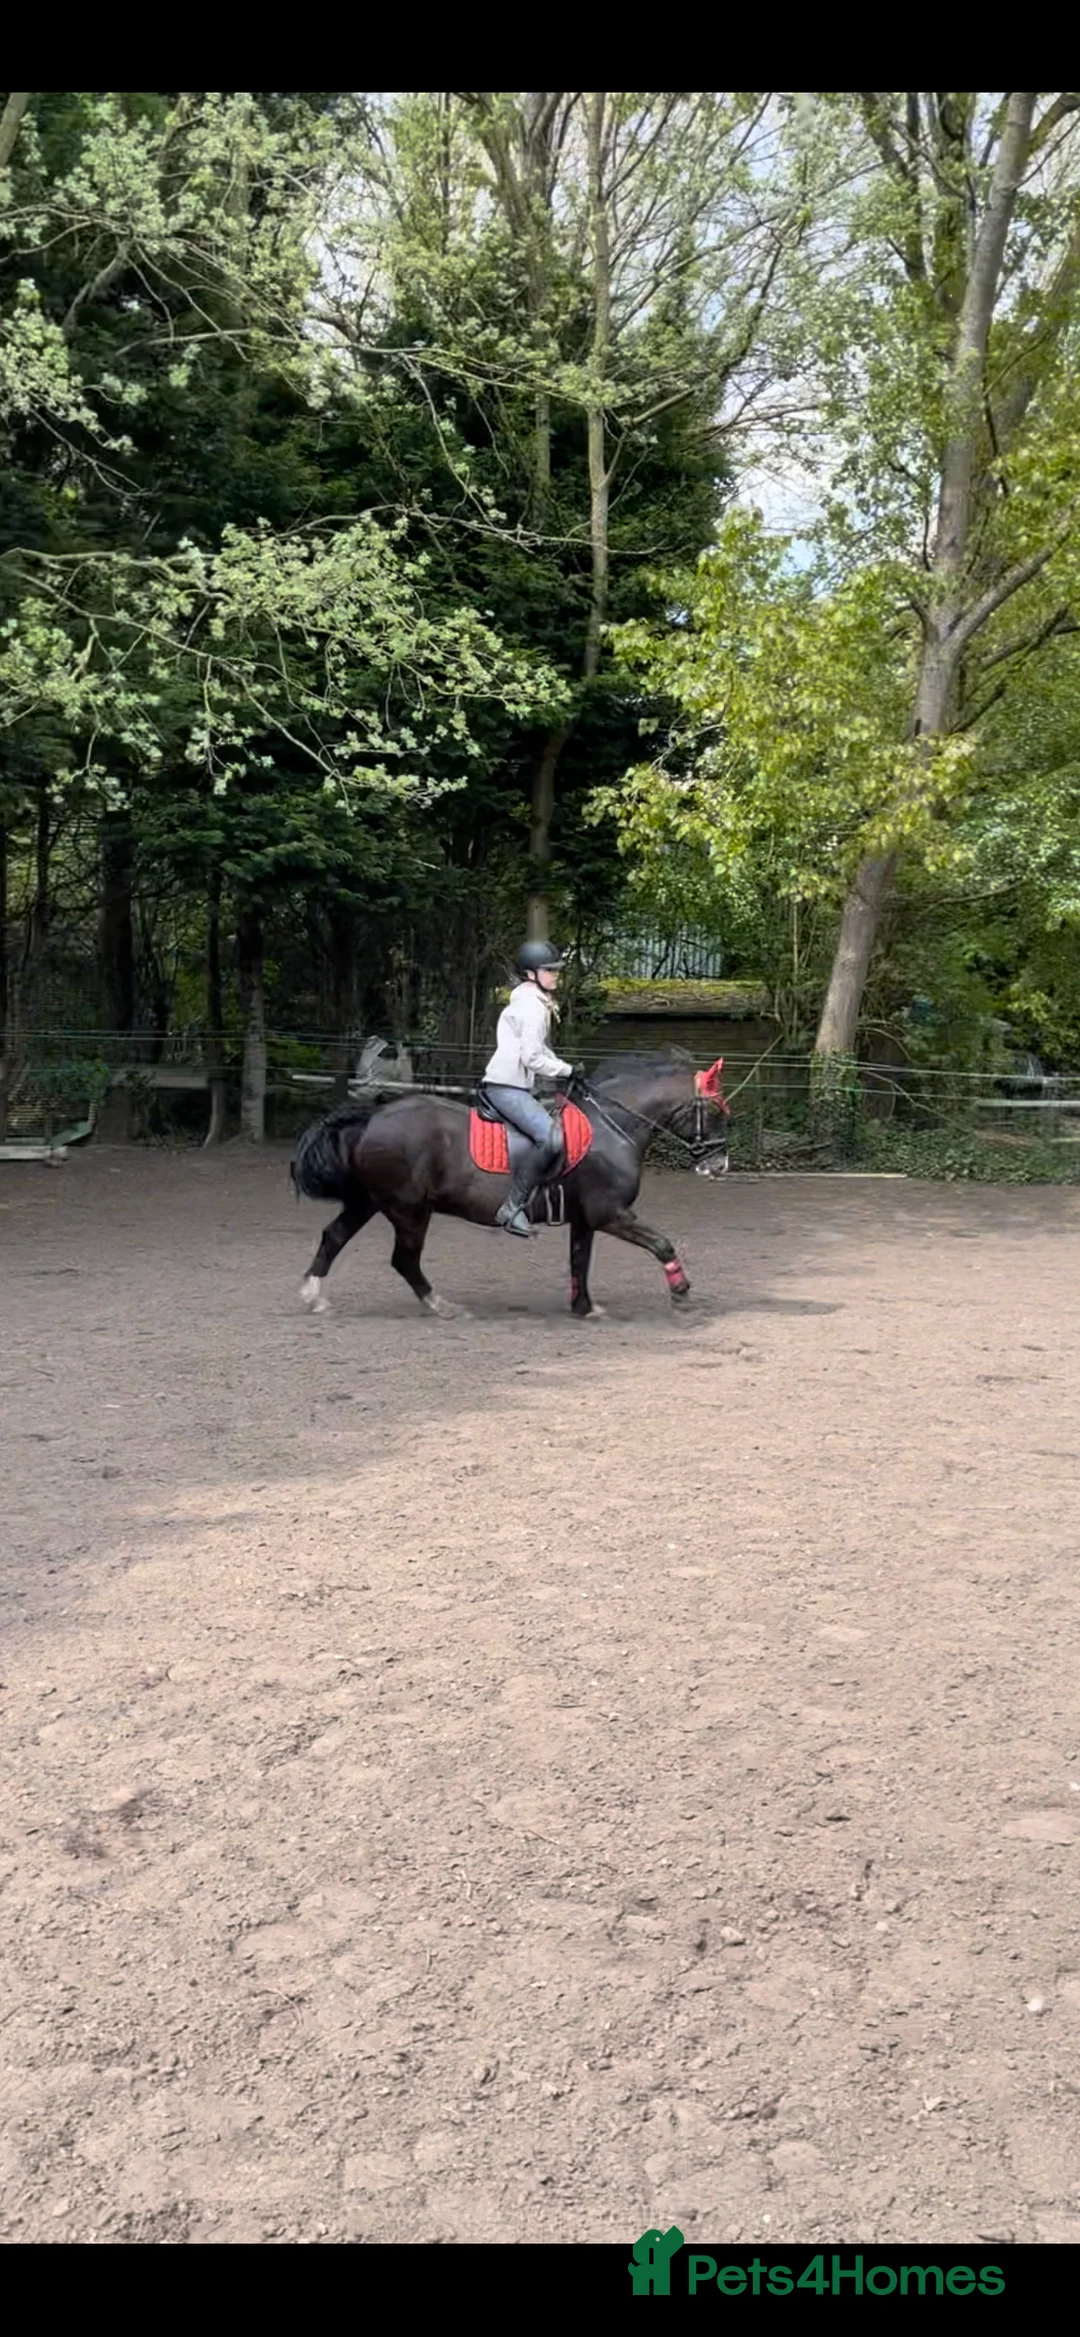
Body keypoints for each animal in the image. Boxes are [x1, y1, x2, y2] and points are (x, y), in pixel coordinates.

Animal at [291, 1049, 730, 1320]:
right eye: (714, 1110)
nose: (719, 1165)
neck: (611, 1127)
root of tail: (371, 1118)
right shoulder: (611, 1214)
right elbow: (662, 1244)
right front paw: (681, 1294)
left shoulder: (585, 1219)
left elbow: (579, 1260)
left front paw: (584, 1307)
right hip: (409, 1209)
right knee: (404, 1260)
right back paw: (443, 1307)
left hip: (369, 1201)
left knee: (334, 1236)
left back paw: (314, 1296)